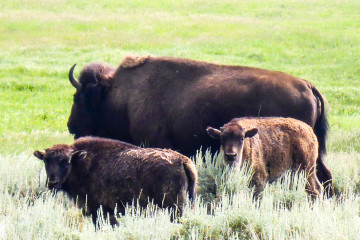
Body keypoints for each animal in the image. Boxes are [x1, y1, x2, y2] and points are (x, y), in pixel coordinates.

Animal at [33, 137, 197, 225]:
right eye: (46, 161)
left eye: (66, 162)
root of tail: (183, 161)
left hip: (173, 208)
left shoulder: (100, 211)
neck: (81, 163)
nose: (52, 183)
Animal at [67, 55, 332, 192]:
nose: (71, 126)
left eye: (77, 97)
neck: (122, 95)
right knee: (325, 177)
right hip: (313, 155)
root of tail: (308, 85)